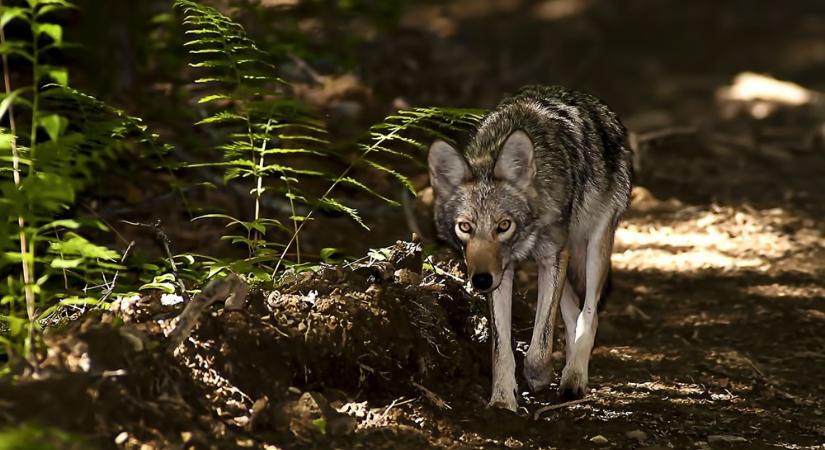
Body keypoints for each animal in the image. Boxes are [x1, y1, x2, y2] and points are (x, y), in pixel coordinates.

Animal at [428, 84, 628, 412]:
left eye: (504, 225)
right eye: (465, 227)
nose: (479, 281)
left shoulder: (553, 256)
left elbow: (541, 344)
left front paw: (538, 377)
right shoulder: (503, 273)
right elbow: (500, 348)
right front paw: (502, 399)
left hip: (594, 248)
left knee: (589, 313)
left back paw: (574, 377)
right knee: (572, 314)